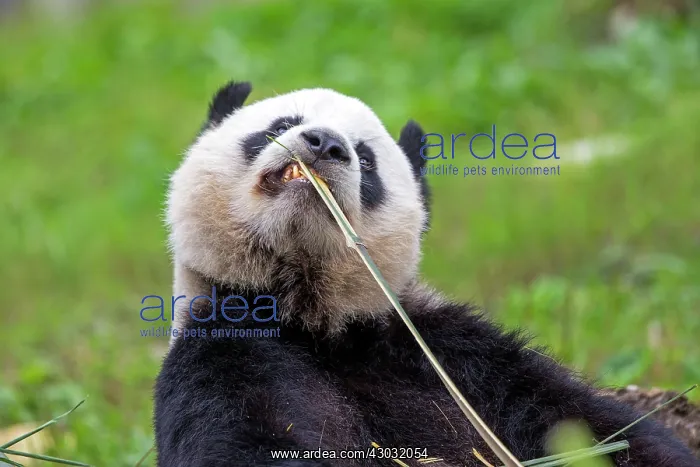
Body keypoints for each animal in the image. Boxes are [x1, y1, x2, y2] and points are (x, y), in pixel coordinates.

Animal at [153, 81, 698, 467]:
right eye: (283, 123)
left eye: (366, 158)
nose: (325, 144)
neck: (317, 324)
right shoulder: (228, 348)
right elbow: (249, 435)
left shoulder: (451, 355)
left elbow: (592, 425)